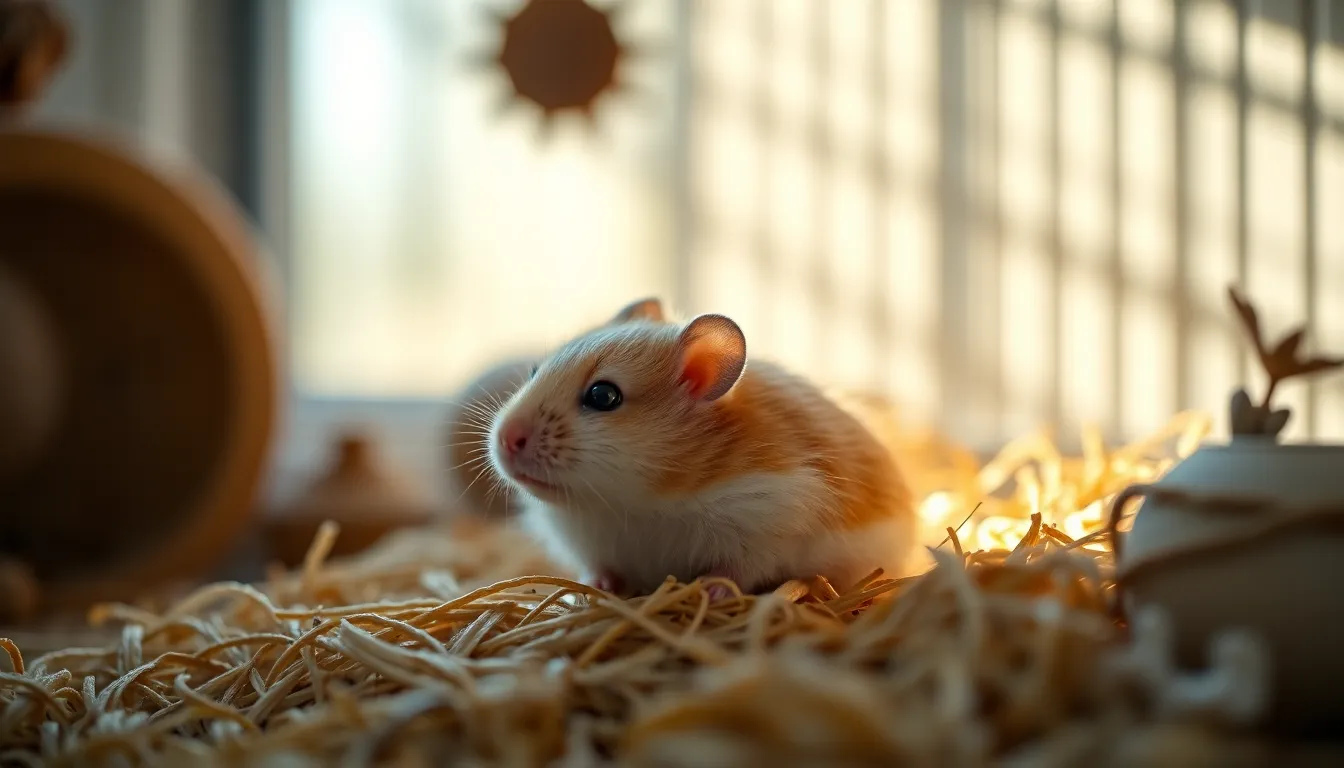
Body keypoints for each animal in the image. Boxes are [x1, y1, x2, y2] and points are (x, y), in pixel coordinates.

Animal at [487, 298, 918, 599]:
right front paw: (595, 588)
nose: (506, 440)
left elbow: (736, 570)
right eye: (534, 371)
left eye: (603, 396)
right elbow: (599, 569)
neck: (636, 502)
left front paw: (709, 590)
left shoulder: (768, 528)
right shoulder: (591, 545)